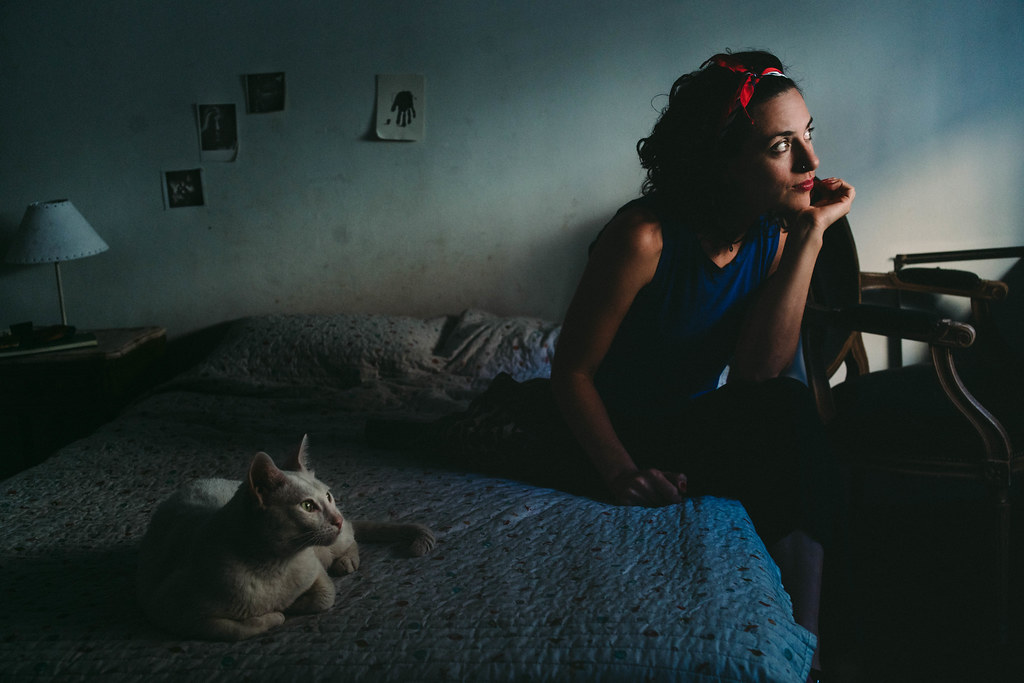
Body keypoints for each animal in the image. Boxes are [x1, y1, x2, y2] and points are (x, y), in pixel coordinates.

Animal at [136, 435, 435, 641]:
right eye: (308, 506)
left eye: (328, 496)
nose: (335, 518)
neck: (275, 565)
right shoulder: (165, 608)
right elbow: (233, 629)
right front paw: (277, 613)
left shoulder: (315, 571)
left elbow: (325, 596)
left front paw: (292, 605)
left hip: (336, 541)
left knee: (351, 535)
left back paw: (346, 560)